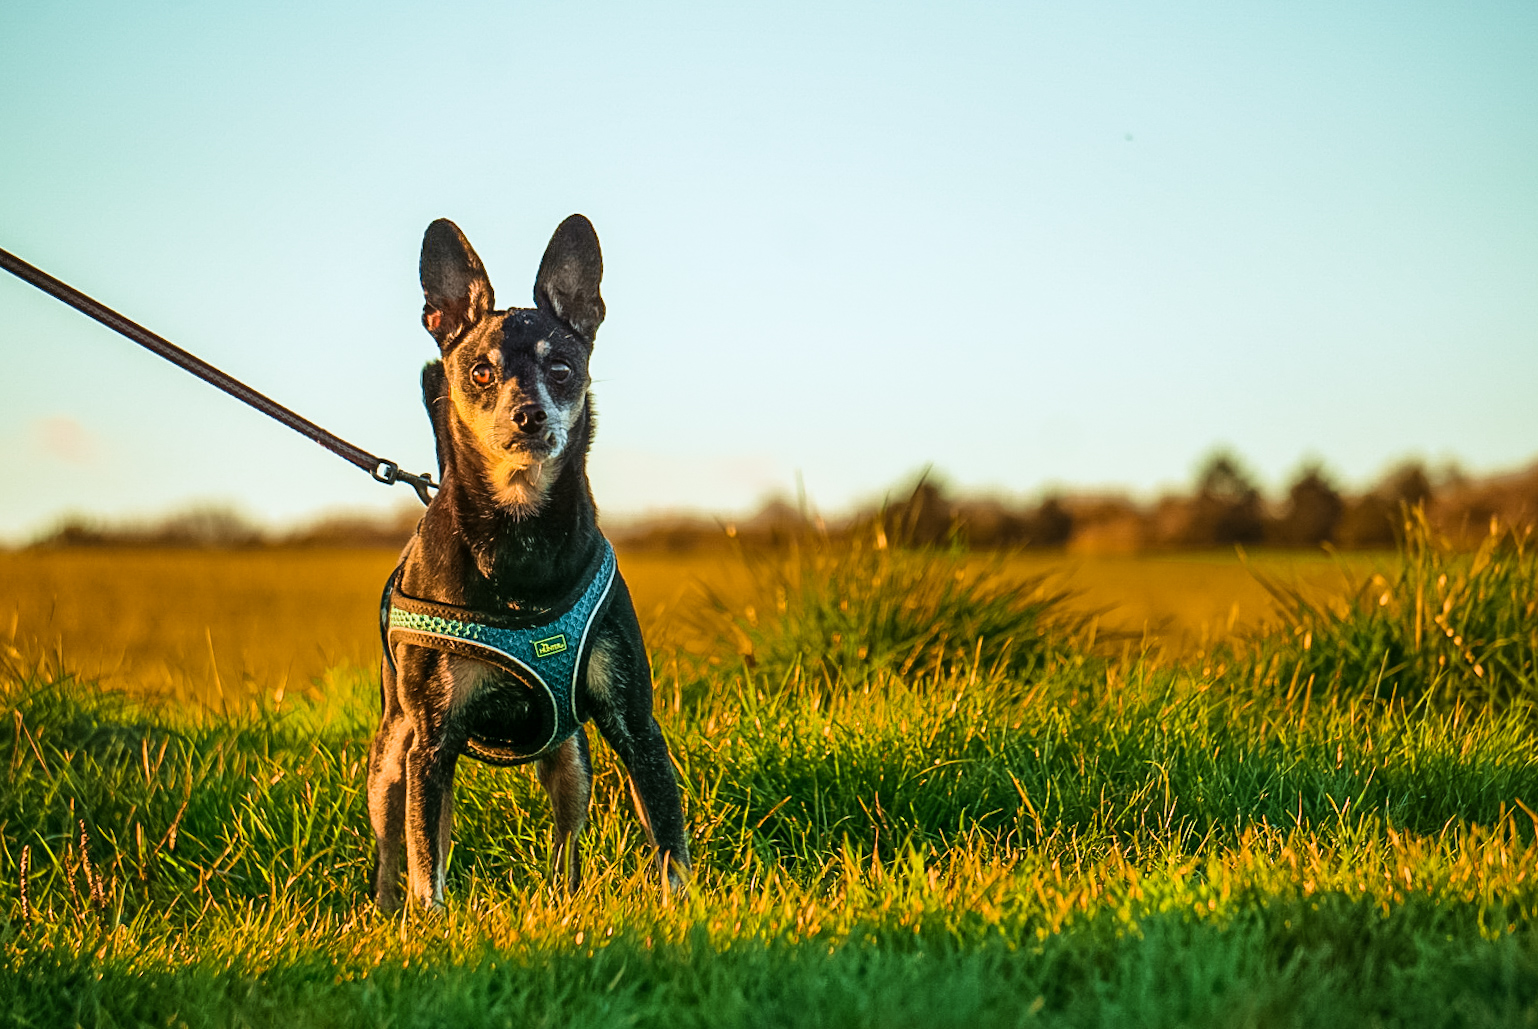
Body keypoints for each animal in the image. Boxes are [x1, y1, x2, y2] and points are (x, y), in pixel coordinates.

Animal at [367, 215, 692, 904]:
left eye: (563, 368)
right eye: (480, 373)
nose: (529, 413)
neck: (520, 541)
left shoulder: (636, 724)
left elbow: (667, 835)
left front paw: (681, 906)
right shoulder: (432, 741)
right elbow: (424, 863)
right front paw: (429, 920)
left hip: (570, 757)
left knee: (566, 841)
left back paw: (563, 901)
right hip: (394, 753)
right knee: (395, 847)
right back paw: (384, 912)